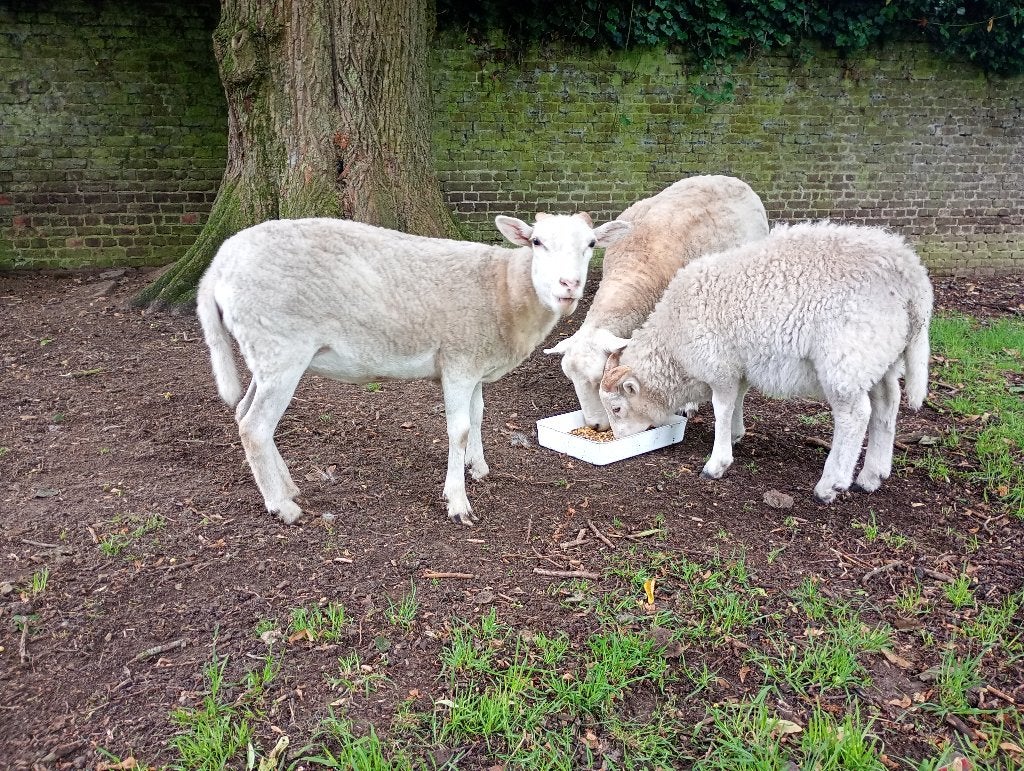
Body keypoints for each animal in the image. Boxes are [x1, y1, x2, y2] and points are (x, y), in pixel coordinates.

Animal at [196, 213, 631, 526]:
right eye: (537, 242)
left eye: (591, 244)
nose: (569, 285)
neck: (504, 291)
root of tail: (218, 264)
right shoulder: (458, 360)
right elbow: (458, 430)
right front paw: (458, 502)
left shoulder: (475, 362)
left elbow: (478, 416)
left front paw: (478, 468)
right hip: (280, 347)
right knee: (254, 426)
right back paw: (281, 507)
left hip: (264, 354)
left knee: (243, 412)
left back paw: (287, 487)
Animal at [597, 220, 934, 503]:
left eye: (617, 408)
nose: (618, 439)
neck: (673, 338)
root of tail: (912, 276)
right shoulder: (740, 366)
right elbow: (737, 401)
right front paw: (735, 434)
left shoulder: (718, 365)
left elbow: (721, 409)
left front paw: (717, 462)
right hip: (880, 355)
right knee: (887, 403)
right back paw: (871, 476)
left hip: (846, 356)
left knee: (855, 415)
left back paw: (831, 484)